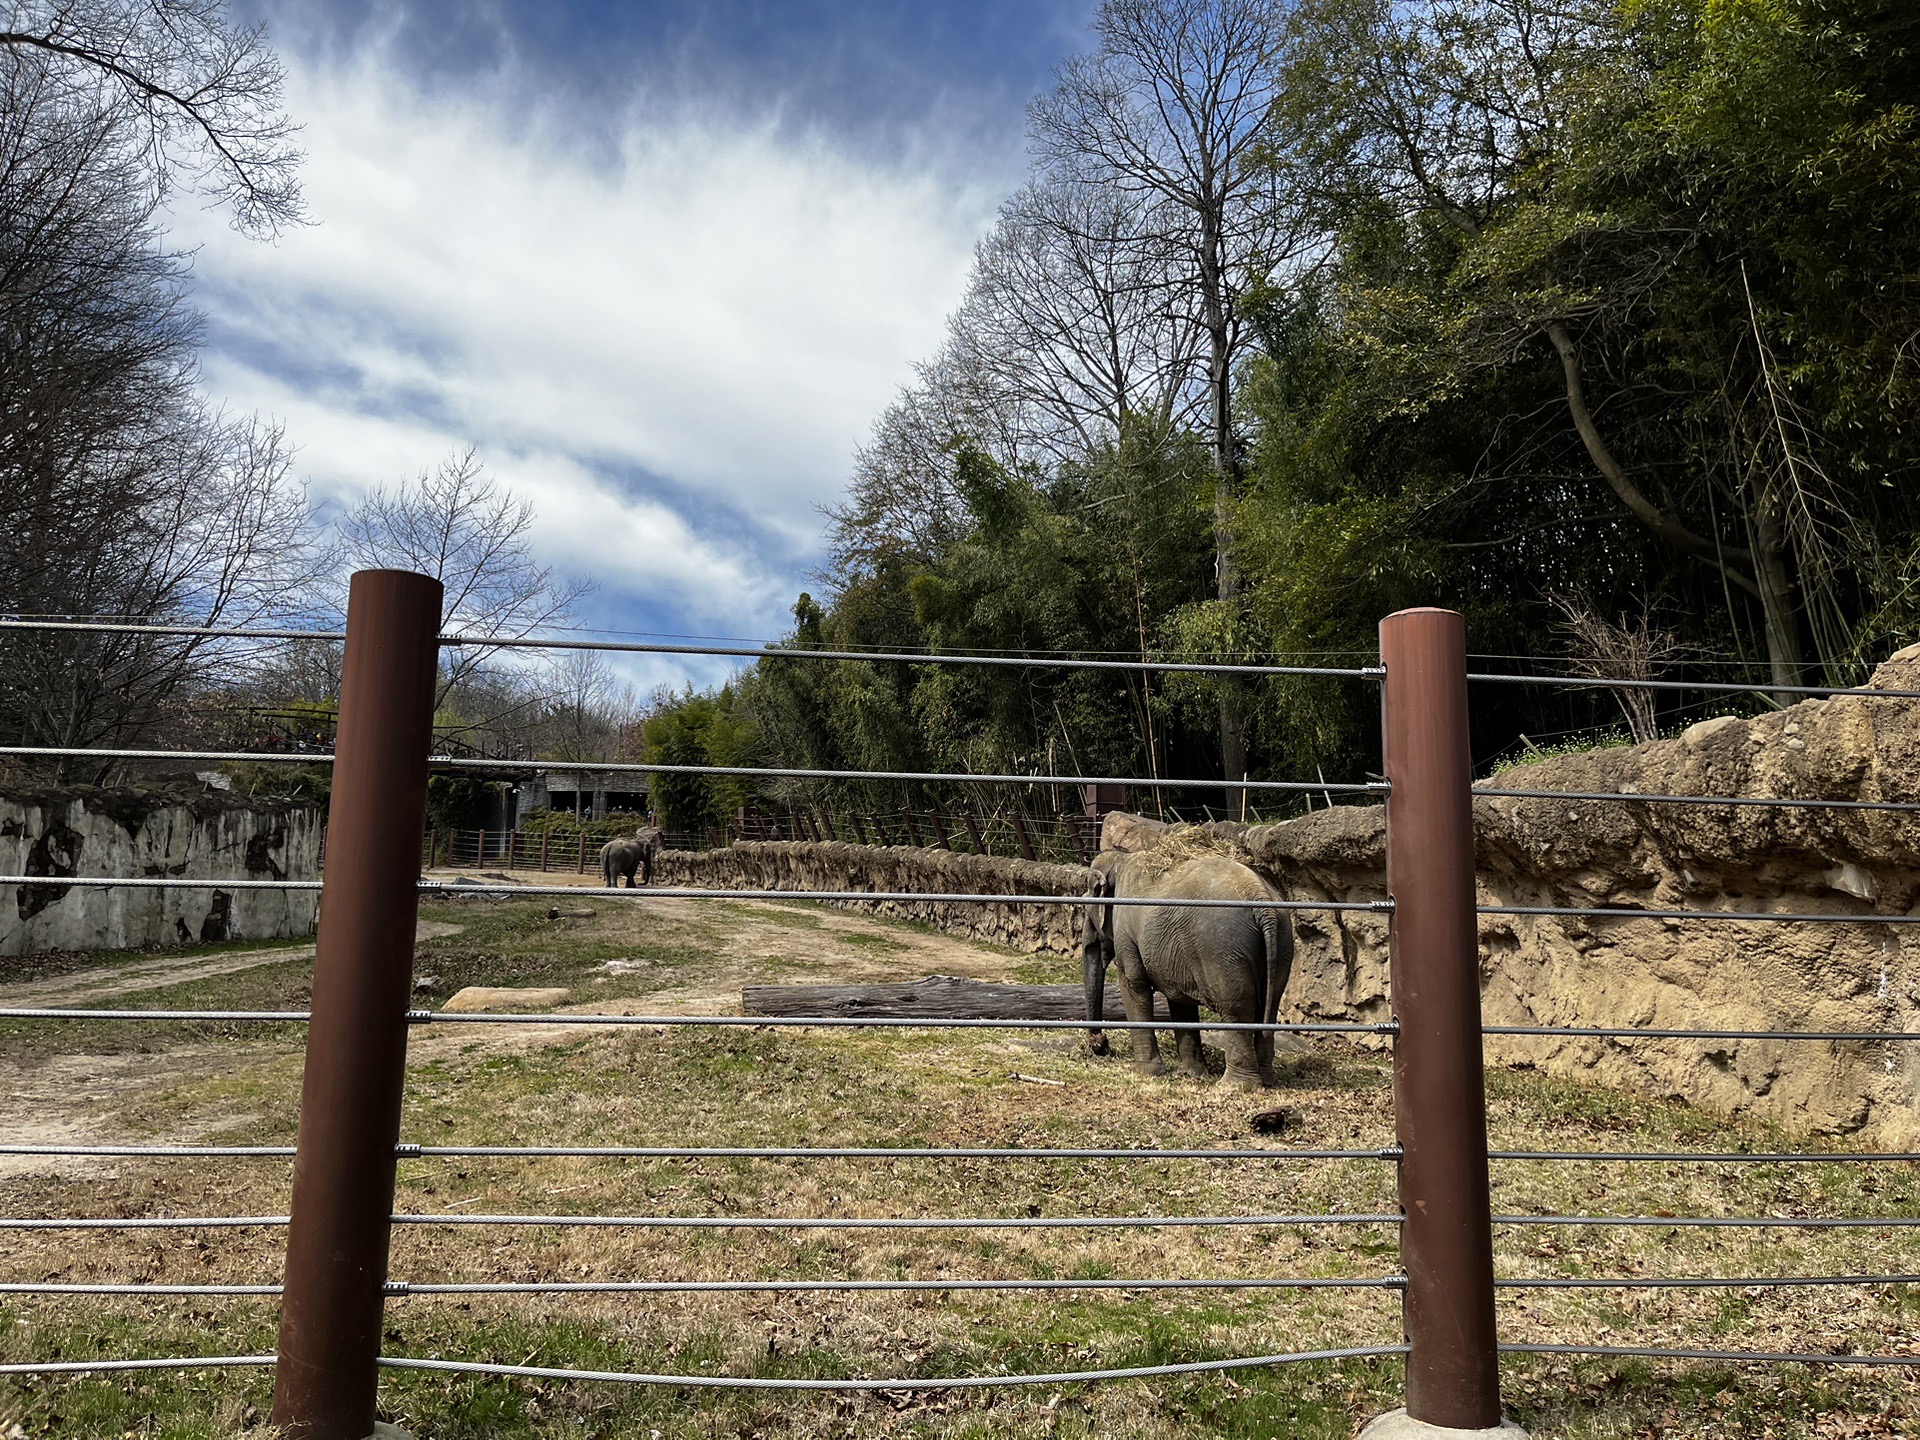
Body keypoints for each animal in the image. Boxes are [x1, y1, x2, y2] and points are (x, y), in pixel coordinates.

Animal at [1082, 844, 1290, 1090]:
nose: (1100, 1044)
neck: (1121, 858)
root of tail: (1260, 898)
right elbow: (1180, 999)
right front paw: (1191, 1074)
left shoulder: (1125, 931)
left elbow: (1134, 983)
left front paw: (1145, 1073)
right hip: (1282, 943)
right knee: (1270, 1003)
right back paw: (1266, 1080)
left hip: (1222, 948)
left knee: (1236, 1007)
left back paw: (1234, 1085)